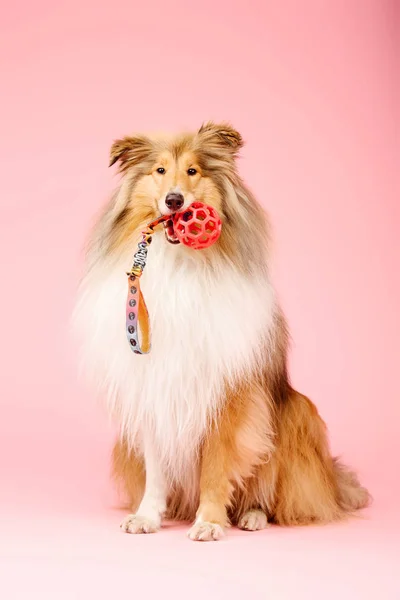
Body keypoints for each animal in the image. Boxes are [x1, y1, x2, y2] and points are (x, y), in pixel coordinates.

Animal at [74, 120, 368, 540]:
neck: (178, 263)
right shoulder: (153, 392)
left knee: (266, 489)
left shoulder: (228, 397)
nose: (175, 201)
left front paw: (210, 521)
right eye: (160, 170)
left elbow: (218, 467)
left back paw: (251, 516)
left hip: (296, 415)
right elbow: (156, 472)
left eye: (193, 170)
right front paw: (147, 517)